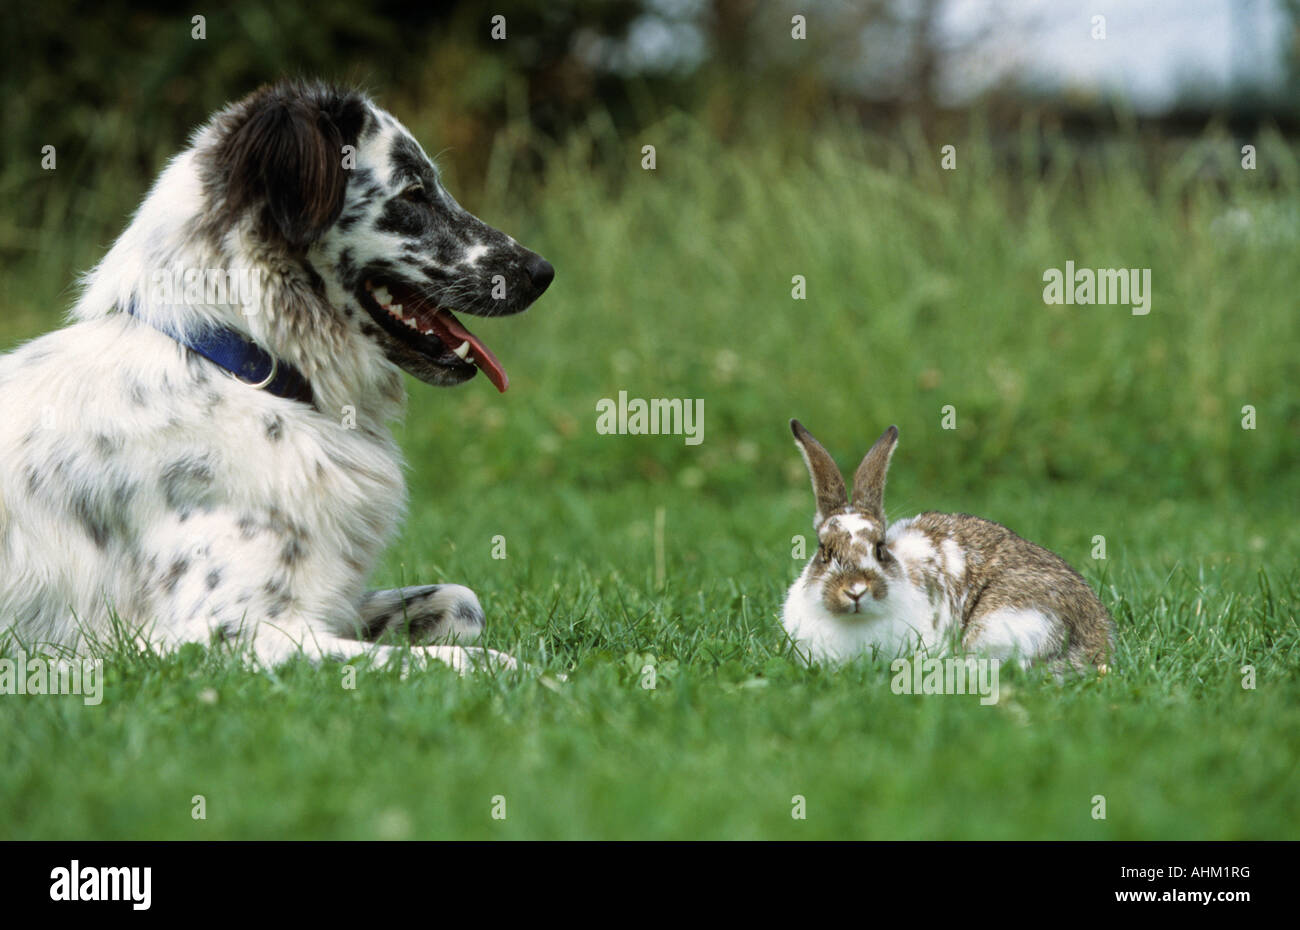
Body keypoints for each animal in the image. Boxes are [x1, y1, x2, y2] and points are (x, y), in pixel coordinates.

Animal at [0, 81, 553, 671]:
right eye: (413, 193)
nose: (542, 272)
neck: (242, 369)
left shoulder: (322, 603)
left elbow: (463, 602)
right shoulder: (220, 633)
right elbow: (472, 661)